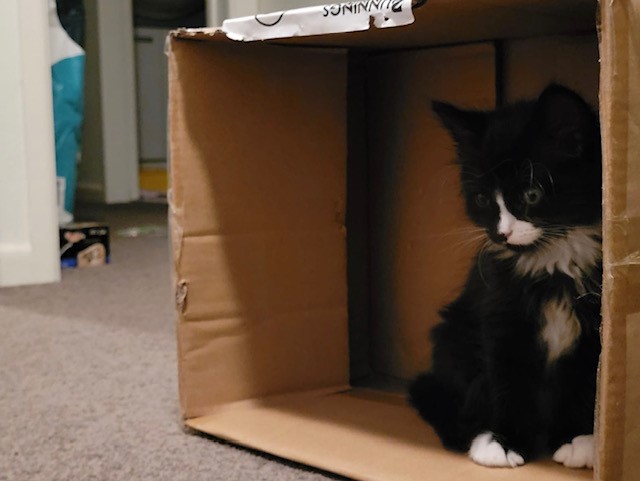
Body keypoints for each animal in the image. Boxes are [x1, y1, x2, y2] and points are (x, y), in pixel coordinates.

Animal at [408, 84, 602, 469]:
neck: (552, 262)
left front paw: (575, 438)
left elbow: (582, 383)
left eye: (532, 194)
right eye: (483, 199)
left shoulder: (591, 330)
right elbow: (509, 383)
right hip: (453, 336)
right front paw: (504, 442)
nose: (501, 234)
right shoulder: (501, 318)